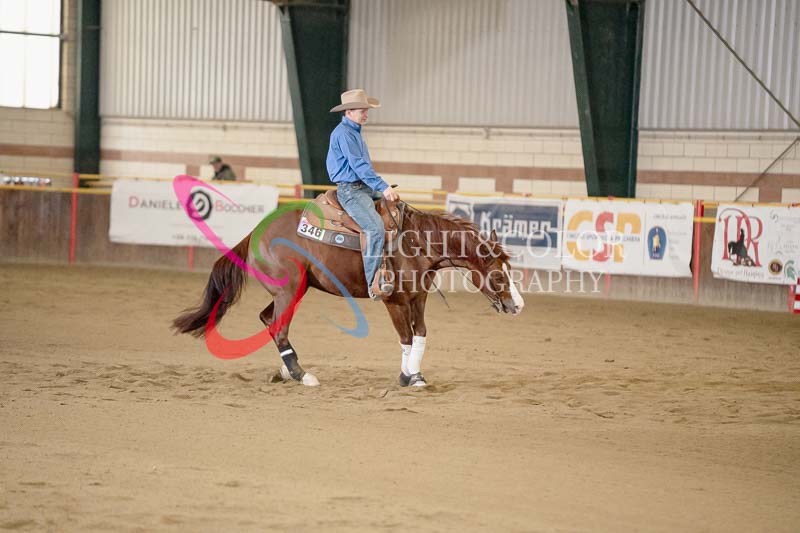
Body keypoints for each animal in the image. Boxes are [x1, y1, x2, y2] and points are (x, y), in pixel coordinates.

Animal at [172, 198, 525, 387]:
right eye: (498, 273)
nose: (517, 305)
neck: (416, 243)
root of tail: (256, 231)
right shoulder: (394, 301)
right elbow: (405, 337)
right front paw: (407, 377)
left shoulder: (418, 298)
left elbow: (420, 334)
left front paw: (416, 374)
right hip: (289, 291)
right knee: (280, 328)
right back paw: (303, 376)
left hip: (291, 291)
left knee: (268, 321)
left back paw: (287, 372)